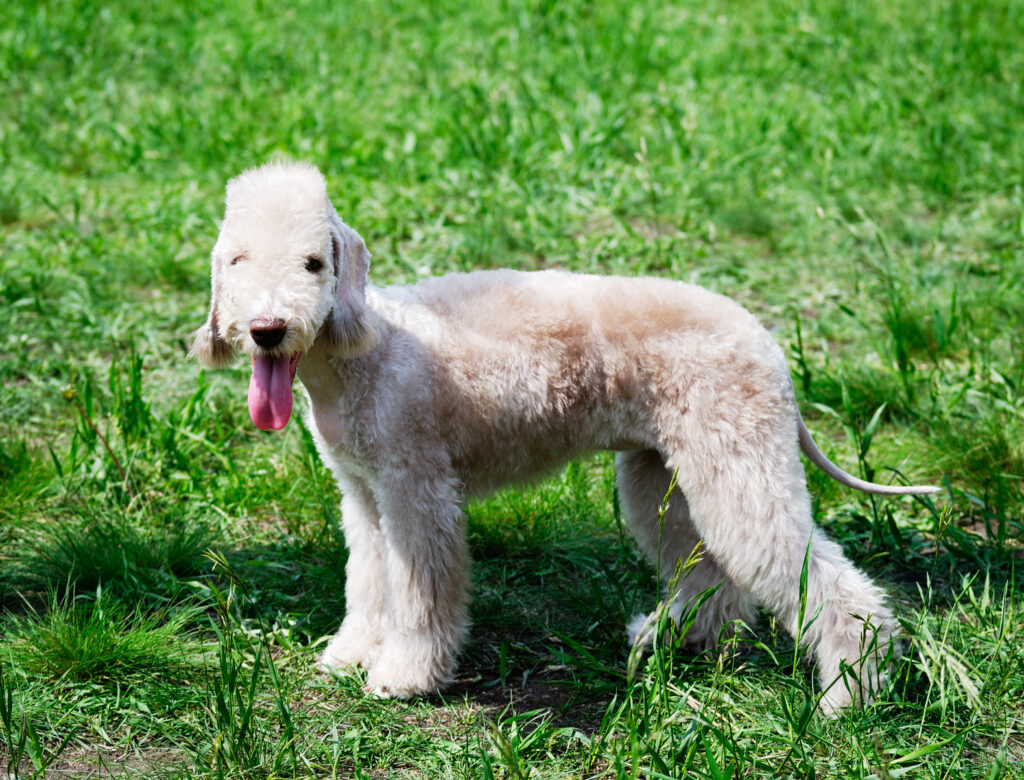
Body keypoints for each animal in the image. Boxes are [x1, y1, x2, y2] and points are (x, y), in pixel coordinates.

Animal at [190, 162, 937, 712]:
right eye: (237, 260)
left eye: (314, 264)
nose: (267, 329)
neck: (366, 351)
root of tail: (765, 340)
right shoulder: (364, 496)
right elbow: (369, 583)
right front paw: (349, 656)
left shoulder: (416, 492)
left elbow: (422, 593)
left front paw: (403, 677)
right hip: (663, 472)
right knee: (710, 573)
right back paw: (673, 639)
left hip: (738, 461)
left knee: (825, 584)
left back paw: (849, 696)